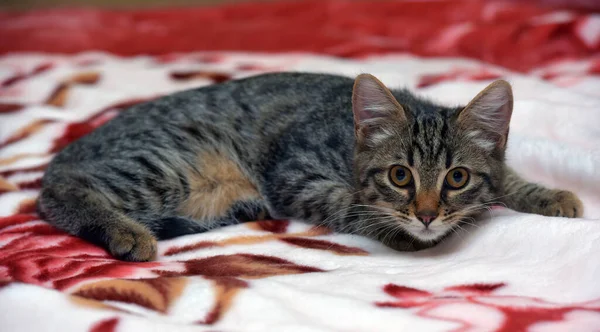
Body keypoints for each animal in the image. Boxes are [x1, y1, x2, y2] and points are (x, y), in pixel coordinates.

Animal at [36, 73, 580, 262]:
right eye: (400, 176)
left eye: (457, 178)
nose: (426, 215)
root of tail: (69, 149)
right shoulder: (294, 171)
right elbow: (348, 203)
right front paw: (399, 231)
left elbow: (507, 178)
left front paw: (551, 195)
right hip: (169, 159)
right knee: (58, 193)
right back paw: (124, 232)